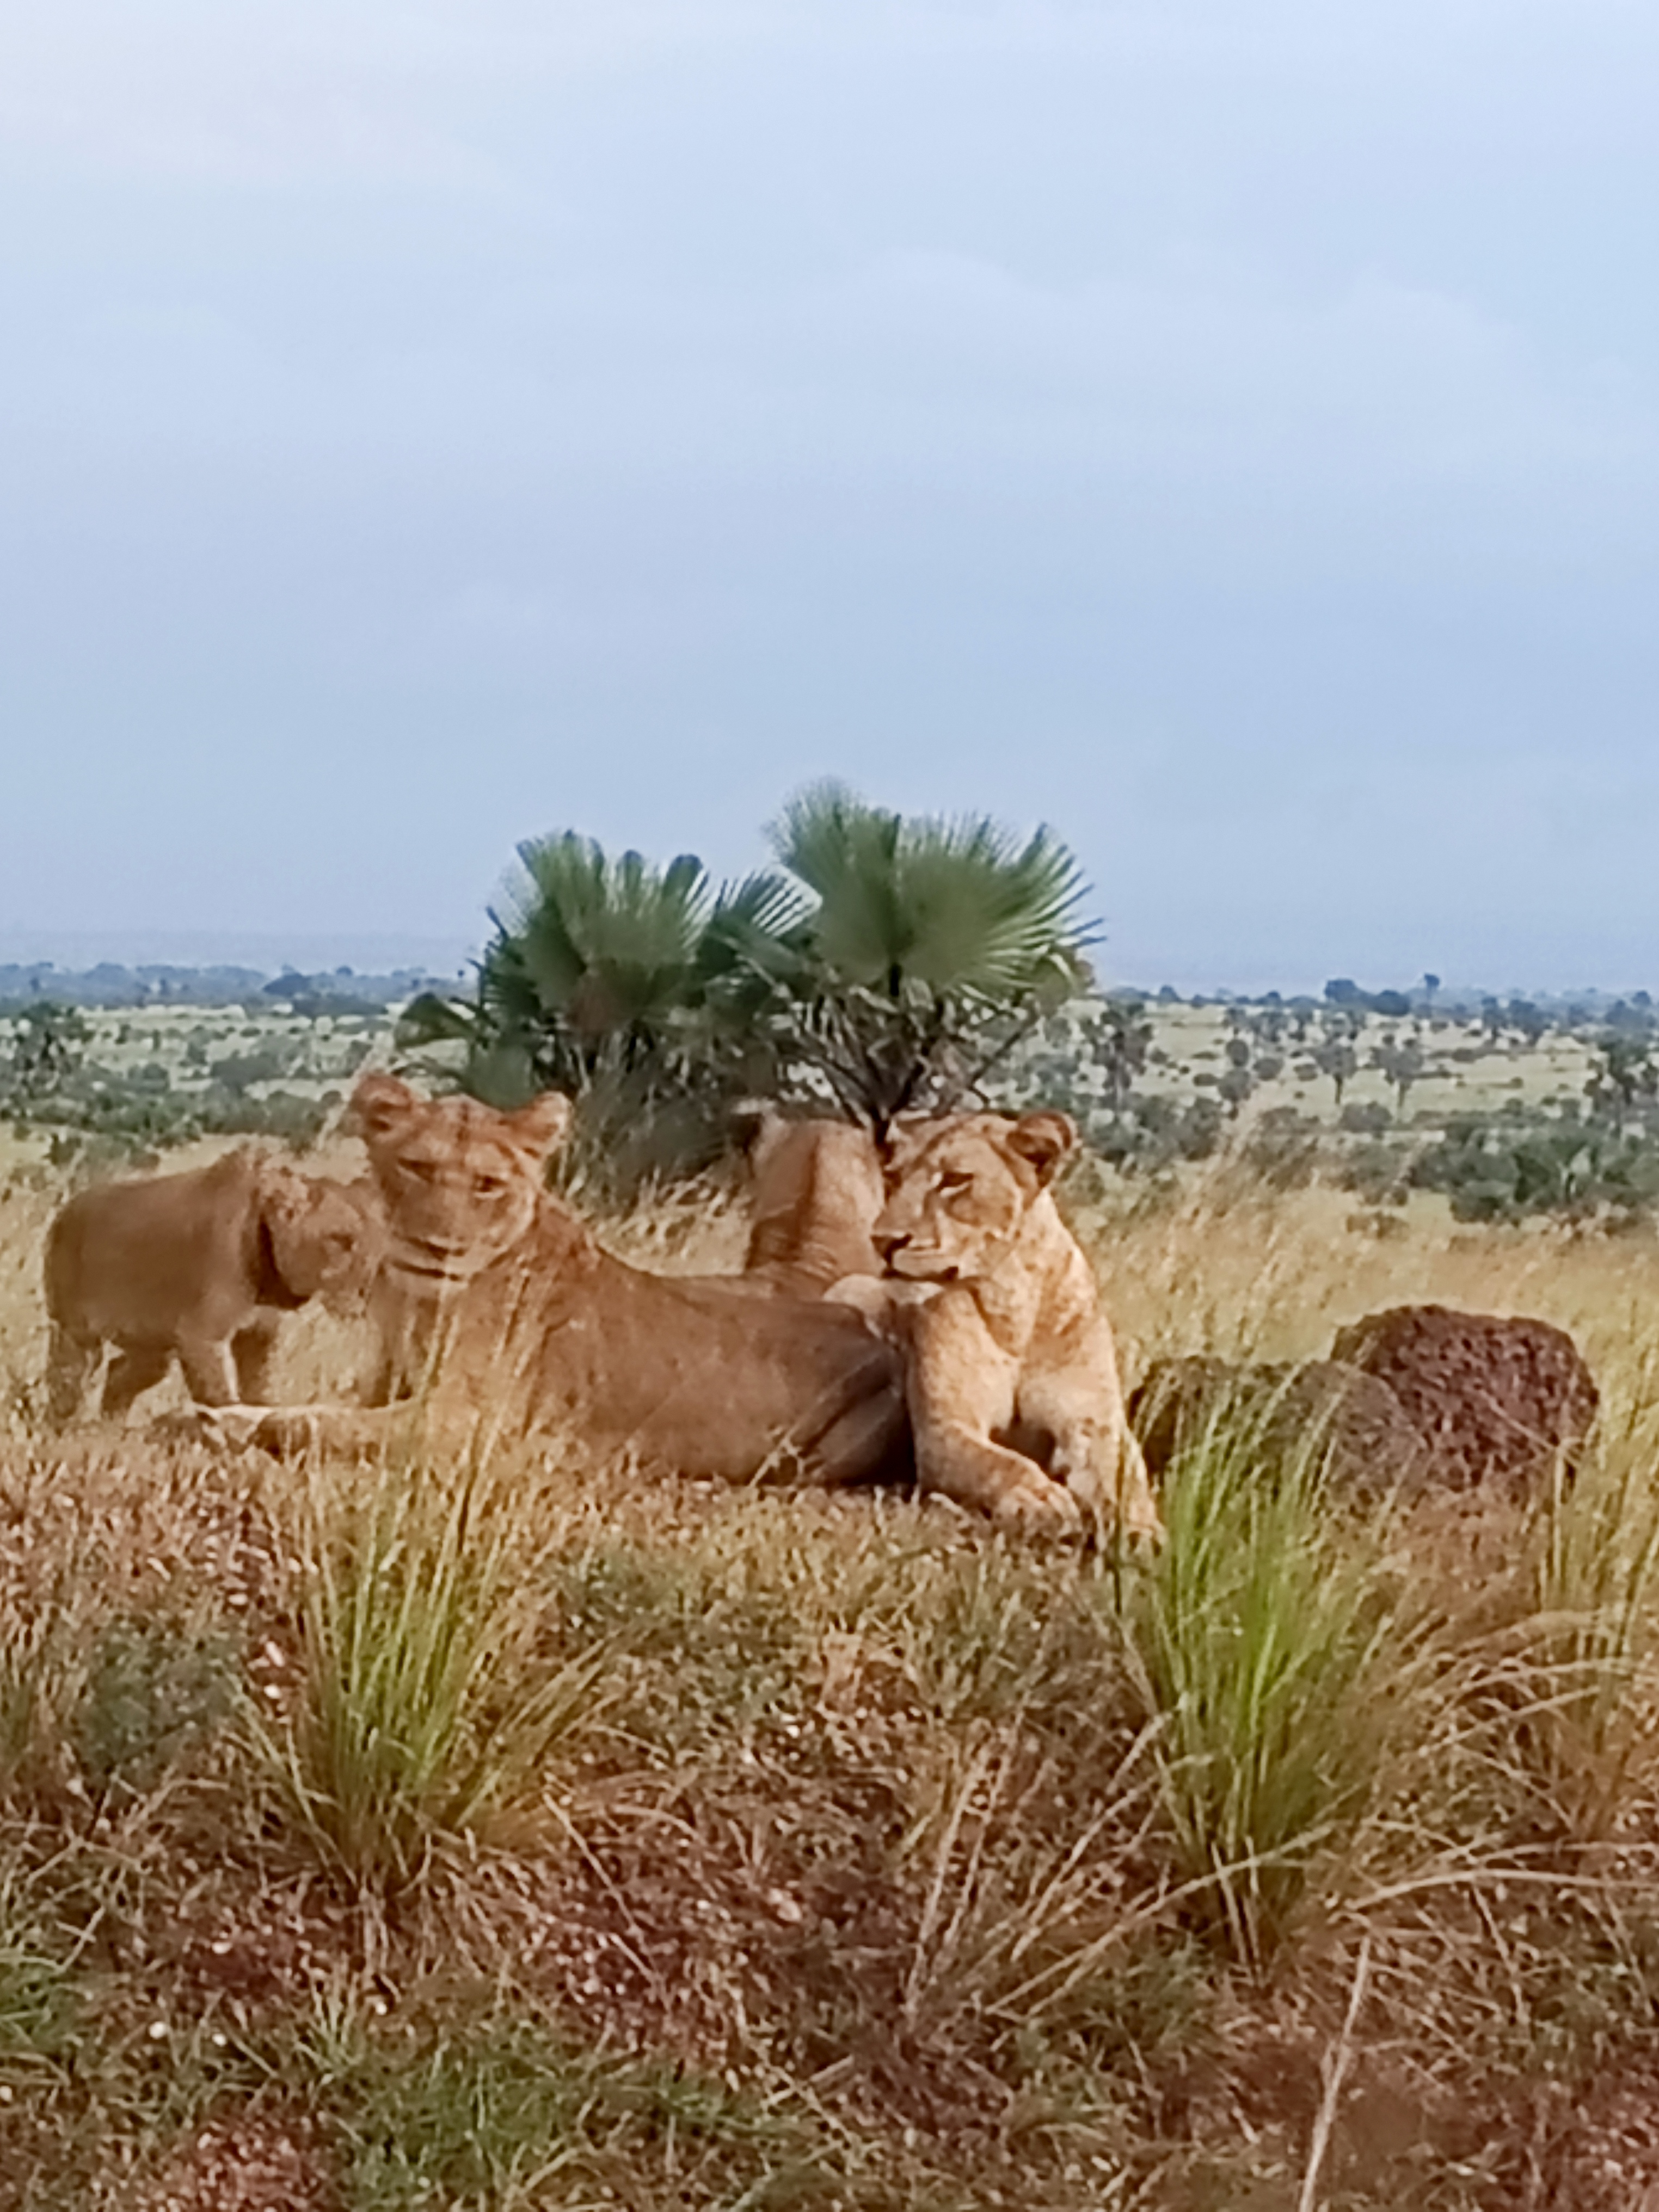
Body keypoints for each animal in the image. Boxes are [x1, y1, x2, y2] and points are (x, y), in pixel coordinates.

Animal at [44, 1149, 383, 1422]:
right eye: (341, 1239)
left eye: (377, 1238)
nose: (368, 1289)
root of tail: (65, 1211)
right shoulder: (201, 1337)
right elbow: (221, 1399)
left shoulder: (261, 1334)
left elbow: (258, 1388)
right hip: (75, 1330)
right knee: (66, 1379)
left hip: (152, 1345)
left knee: (118, 1374)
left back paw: (113, 1428)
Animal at [222, 1074, 908, 1491]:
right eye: (417, 1167)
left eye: (487, 1184)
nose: (440, 1246)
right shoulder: (387, 1387)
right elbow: (314, 1405)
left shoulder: (470, 1425)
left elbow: (315, 1422)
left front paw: (240, 1424)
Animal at [869, 1109, 1162, 1541]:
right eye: (893, 1178)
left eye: (955, 1179)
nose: (883, 1241)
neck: (1012, 1305)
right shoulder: (944, 1428)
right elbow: (1000, 1463)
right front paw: (1041, 1499)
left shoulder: (1093, 1421)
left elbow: (1124, 1475)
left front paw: (1142, 1528)